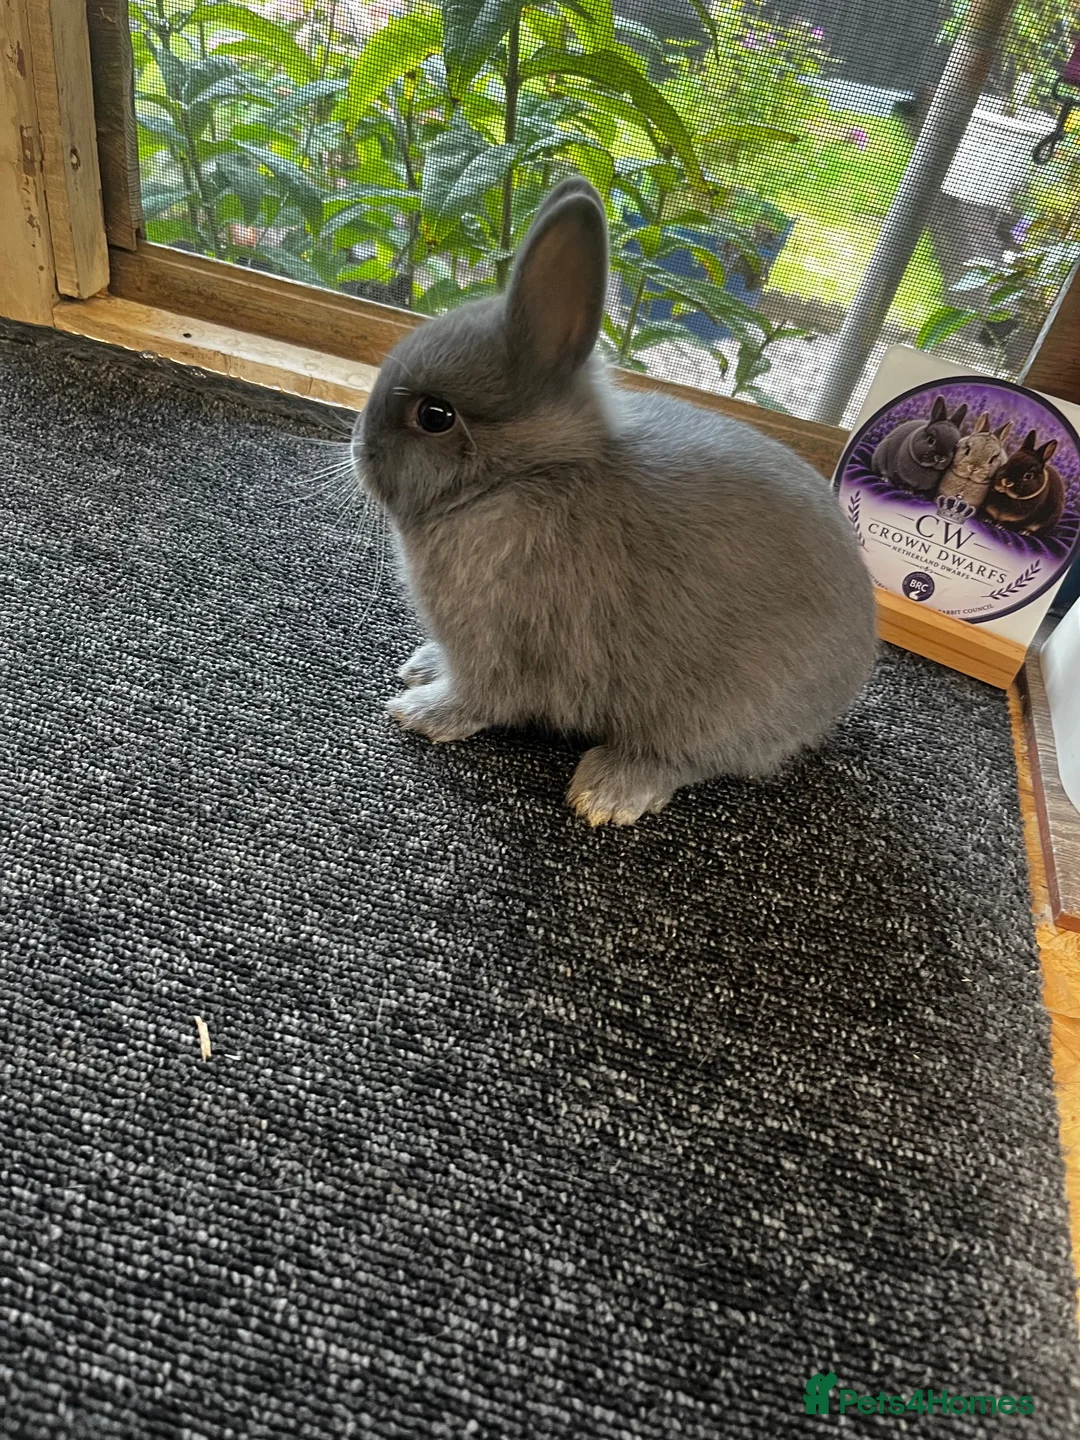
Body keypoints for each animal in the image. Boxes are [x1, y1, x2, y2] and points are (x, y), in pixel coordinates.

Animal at [351, 177, 877, 826]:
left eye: (435, 416)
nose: (359, 447)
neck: (525, 477)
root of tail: (845, 683)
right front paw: (420, 675)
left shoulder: (496, 647)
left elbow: (478, 698)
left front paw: (419, 713)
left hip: (713, 708)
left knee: (685, 759)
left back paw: (605, 792)